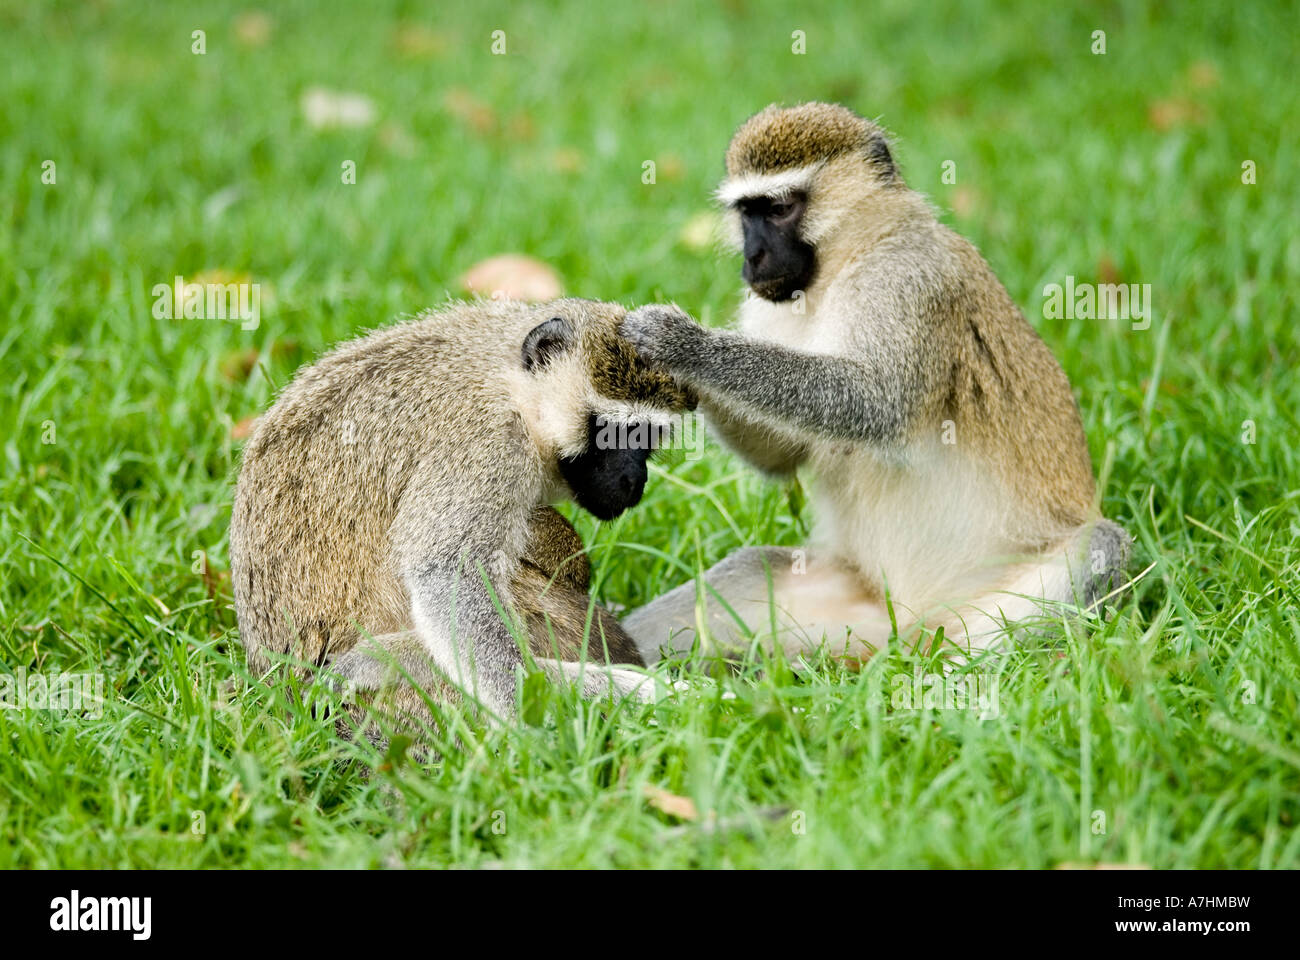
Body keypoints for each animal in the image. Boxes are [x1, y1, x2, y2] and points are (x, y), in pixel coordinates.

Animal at [618, 100, 1128, 660]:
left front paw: (681, 344)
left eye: (779, 209)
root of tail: (910, 624)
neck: (841, 268)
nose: (751, 259)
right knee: (752, 569)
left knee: (1100, 547)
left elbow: (876, 404)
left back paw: (959, 670)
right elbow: (782, 456)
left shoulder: (906, 276)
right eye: (746, 213)